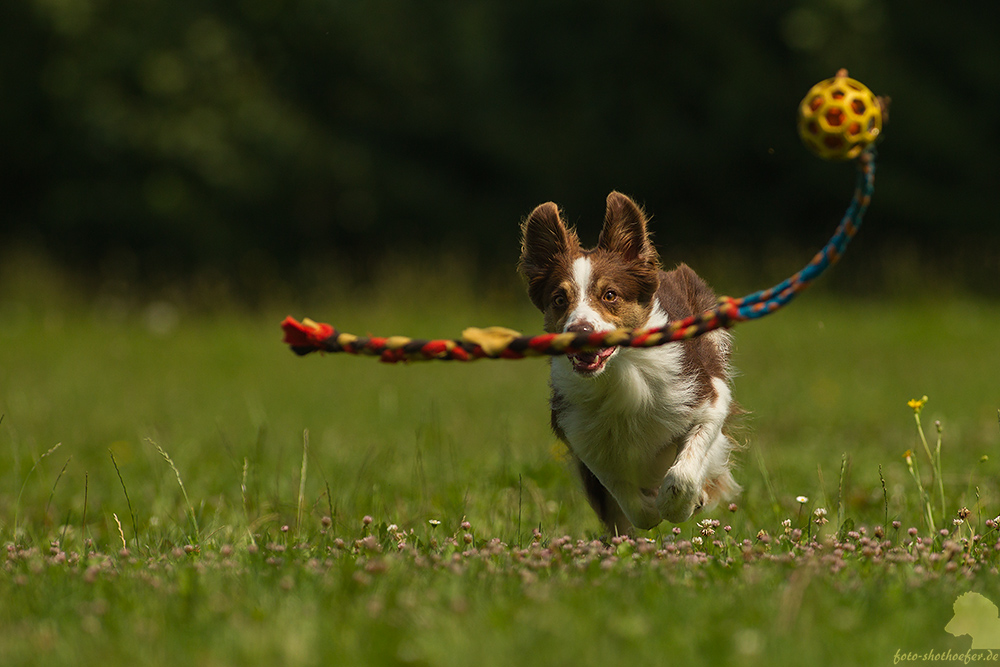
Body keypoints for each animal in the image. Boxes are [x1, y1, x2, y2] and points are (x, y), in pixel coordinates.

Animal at [520, 190, 740, 536]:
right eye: (559, 299)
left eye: (609, 295)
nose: (580, 332)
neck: (618, 371)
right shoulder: (581, 433)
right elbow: (630, 501)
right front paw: (651, 508)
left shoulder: (708, 396)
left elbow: (684, 471)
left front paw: (683, 503)